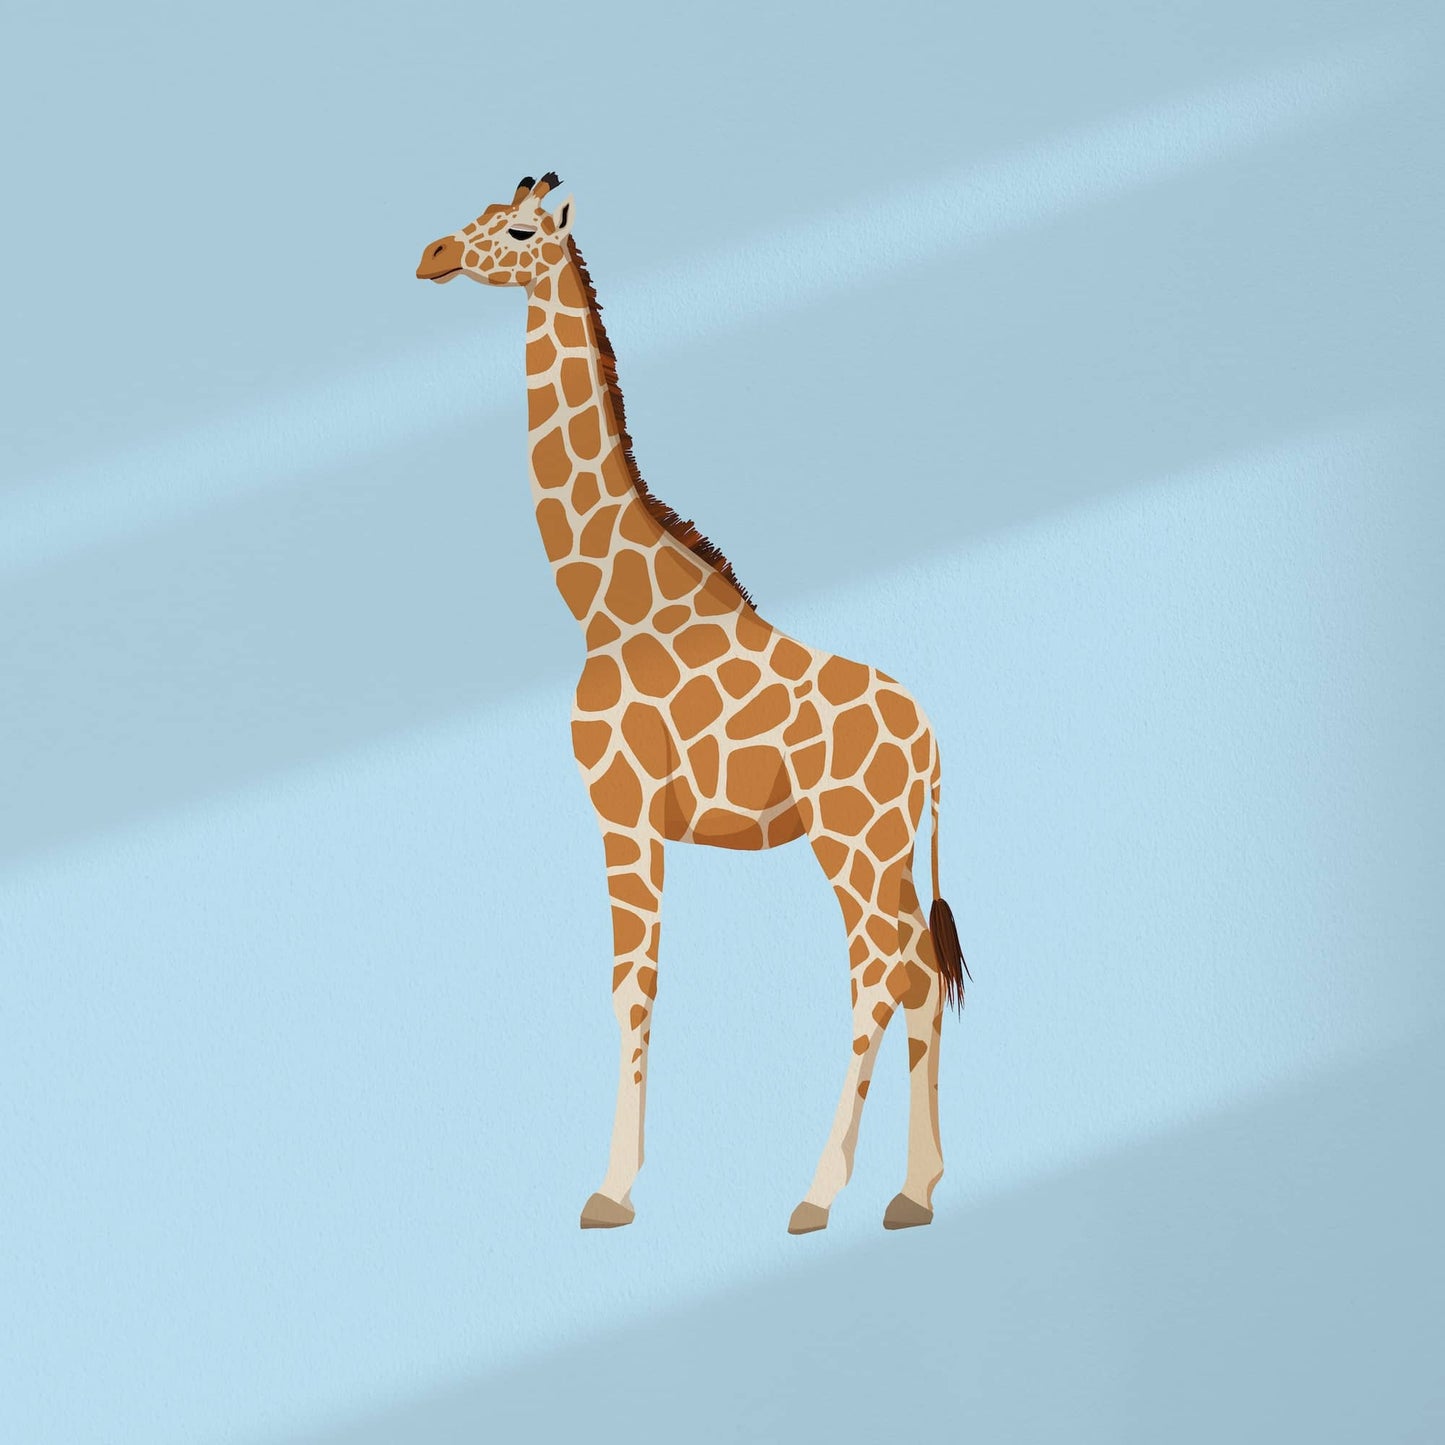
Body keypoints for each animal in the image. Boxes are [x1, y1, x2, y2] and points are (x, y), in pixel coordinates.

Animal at [416, 173, 969, 1234]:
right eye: (479, 216)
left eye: (517, 229)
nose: (431, 256)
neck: (606, 605)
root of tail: (932, 745)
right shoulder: (640, 816)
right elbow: (640, 984)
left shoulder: (623, 808)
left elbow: (631, 985)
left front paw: (610, 1190)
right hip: (885, 851)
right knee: (920, 976)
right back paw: (912, 1193)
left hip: (849, 840)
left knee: (876, 978)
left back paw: (815, 1194)